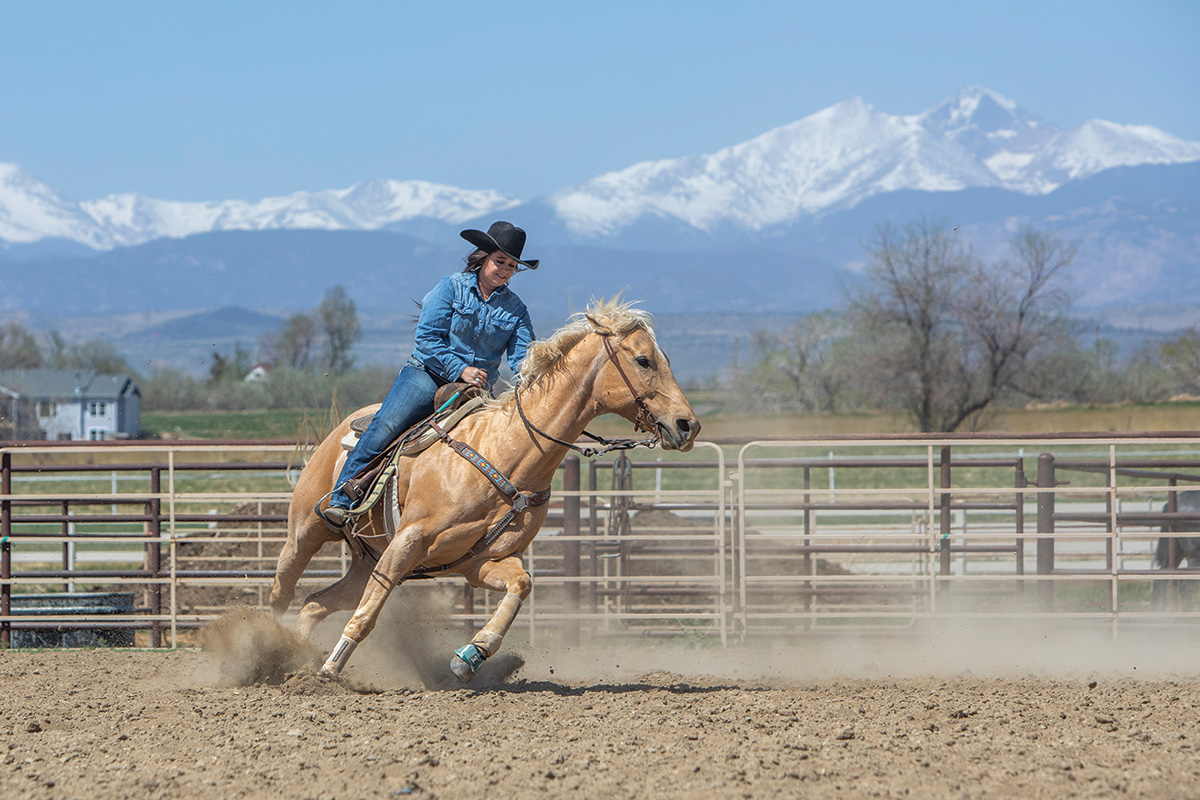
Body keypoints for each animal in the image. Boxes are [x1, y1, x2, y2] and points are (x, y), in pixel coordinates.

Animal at [270, 298, 700, 681]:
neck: (508, 453)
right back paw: (272, 646)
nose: (688, 425)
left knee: (313, 604)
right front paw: (331, 669)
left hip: (365, 560)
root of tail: (343, 426)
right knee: (283, 592)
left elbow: (521, 586)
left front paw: (472, 654)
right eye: (644, 360)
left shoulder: (481, 562)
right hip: (306, 532)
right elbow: (367, 614)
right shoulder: (407, 542)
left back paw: (297, 656)